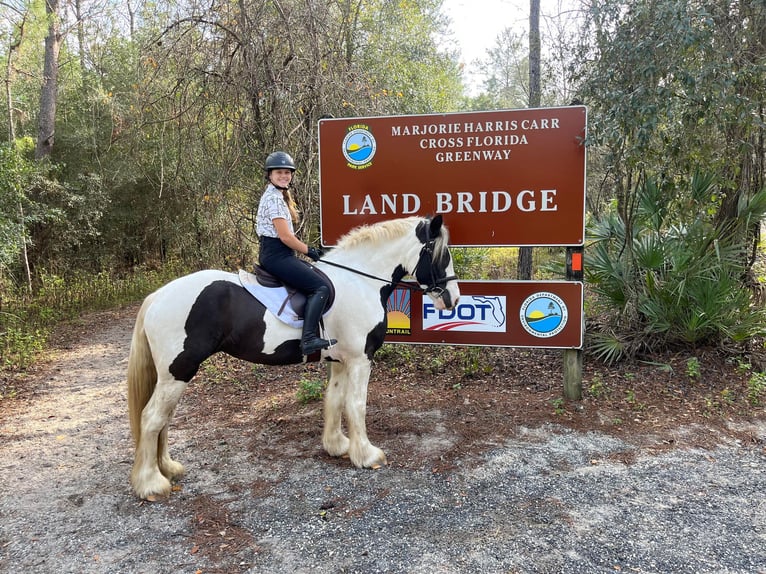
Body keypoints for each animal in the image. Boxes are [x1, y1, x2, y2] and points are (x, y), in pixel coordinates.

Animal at [127, 215, 462, 500]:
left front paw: (337, 445)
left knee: (163, 419)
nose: (452, 299)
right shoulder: (360, 359)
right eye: (441, 255)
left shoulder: (341, 361)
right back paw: (151, 483)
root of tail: (157, 297)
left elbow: (334, 401)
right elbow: (356, 405)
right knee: (152, 418)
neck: (360, 283)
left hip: (173, 374)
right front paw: (367, 455)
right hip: (179, 371)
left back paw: (168, 469)